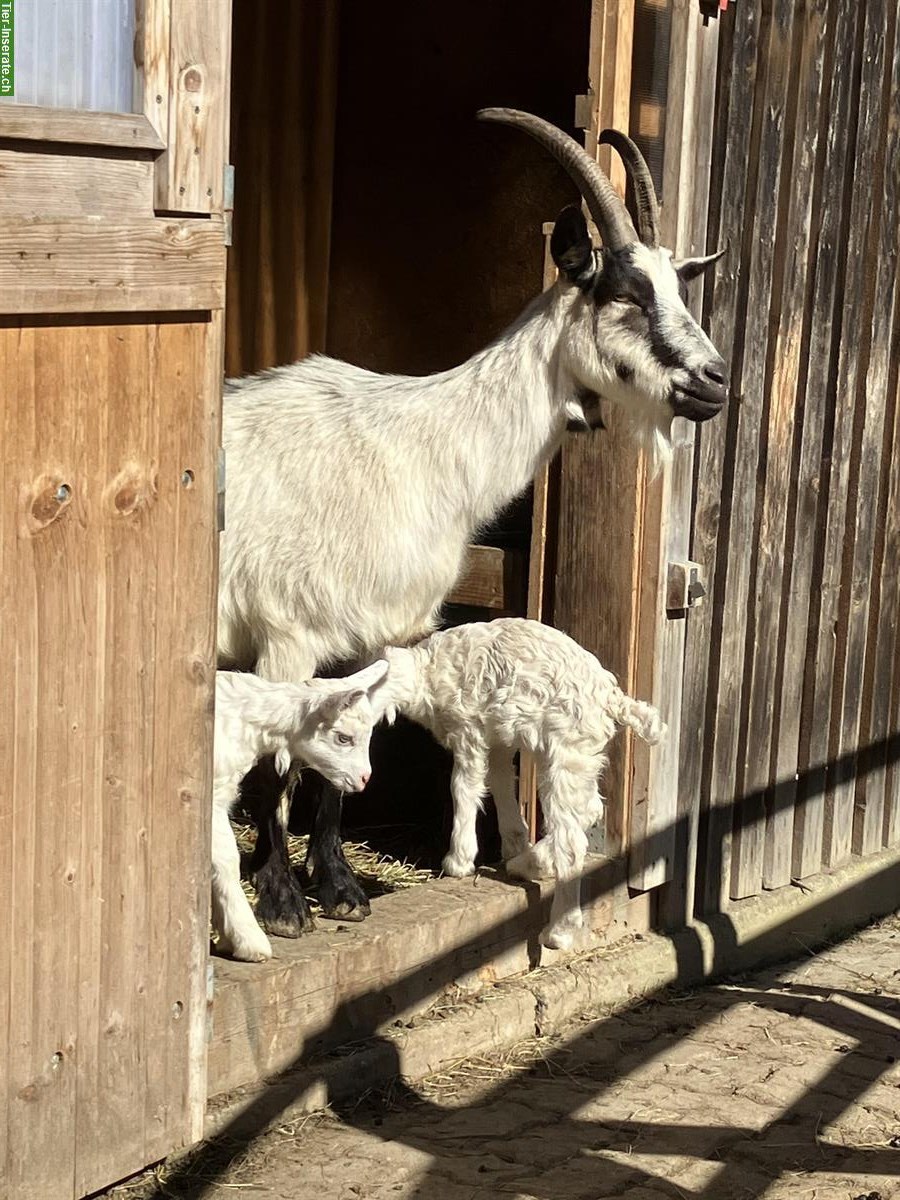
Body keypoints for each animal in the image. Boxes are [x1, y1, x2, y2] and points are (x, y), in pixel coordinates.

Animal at [220, 108, 734, 931]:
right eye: (624, 293)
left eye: (678, 287)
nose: (715, 382)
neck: (422, 450)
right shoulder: (285, 632)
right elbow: (282, 762)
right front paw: (284, 900)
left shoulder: (371, 632)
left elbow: (340, 754)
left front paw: (341, 889)